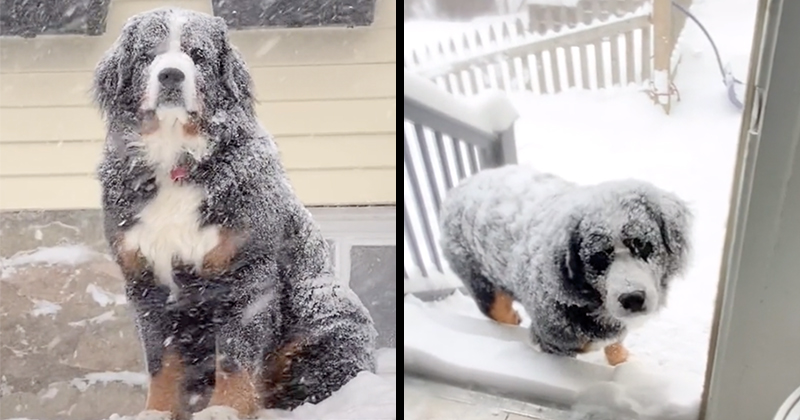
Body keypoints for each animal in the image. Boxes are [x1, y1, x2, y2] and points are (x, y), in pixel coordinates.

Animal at [93, 7, 378, 420]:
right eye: (150, 54)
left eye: (197, 55)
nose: (171, 74)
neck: (177, 161)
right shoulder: (145, 279)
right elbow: (161, 361)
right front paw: (157, 411)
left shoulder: (245, 273)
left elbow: (234, 356)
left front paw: (224, 409)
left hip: (326, 335)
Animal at [440, 166, 692, 366]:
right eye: (597, 258)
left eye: (644, 246)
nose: (632, 298)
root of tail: (461, 186)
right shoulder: (554, 344)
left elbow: (615, 348)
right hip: (483, 286)